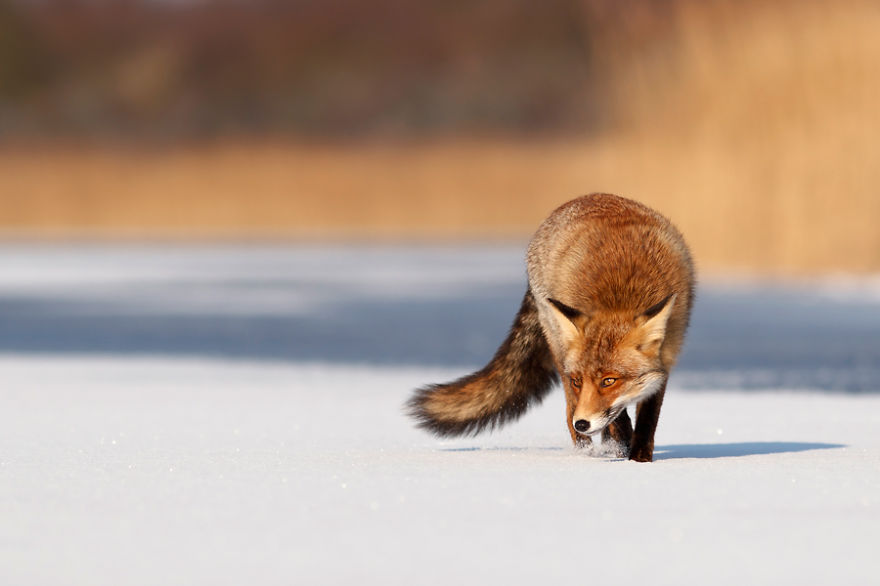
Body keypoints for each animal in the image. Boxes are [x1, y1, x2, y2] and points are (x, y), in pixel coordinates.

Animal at [407, 193, 695, 462]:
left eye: (609, 381)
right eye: (579, 381)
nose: (583, 423)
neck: (621, 297)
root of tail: (581, 199)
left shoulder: (666, 360)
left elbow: (647, 422)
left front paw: (639, 460)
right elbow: (617, 419)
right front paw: (622, 450)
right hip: (558, 350)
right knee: (568, 415)